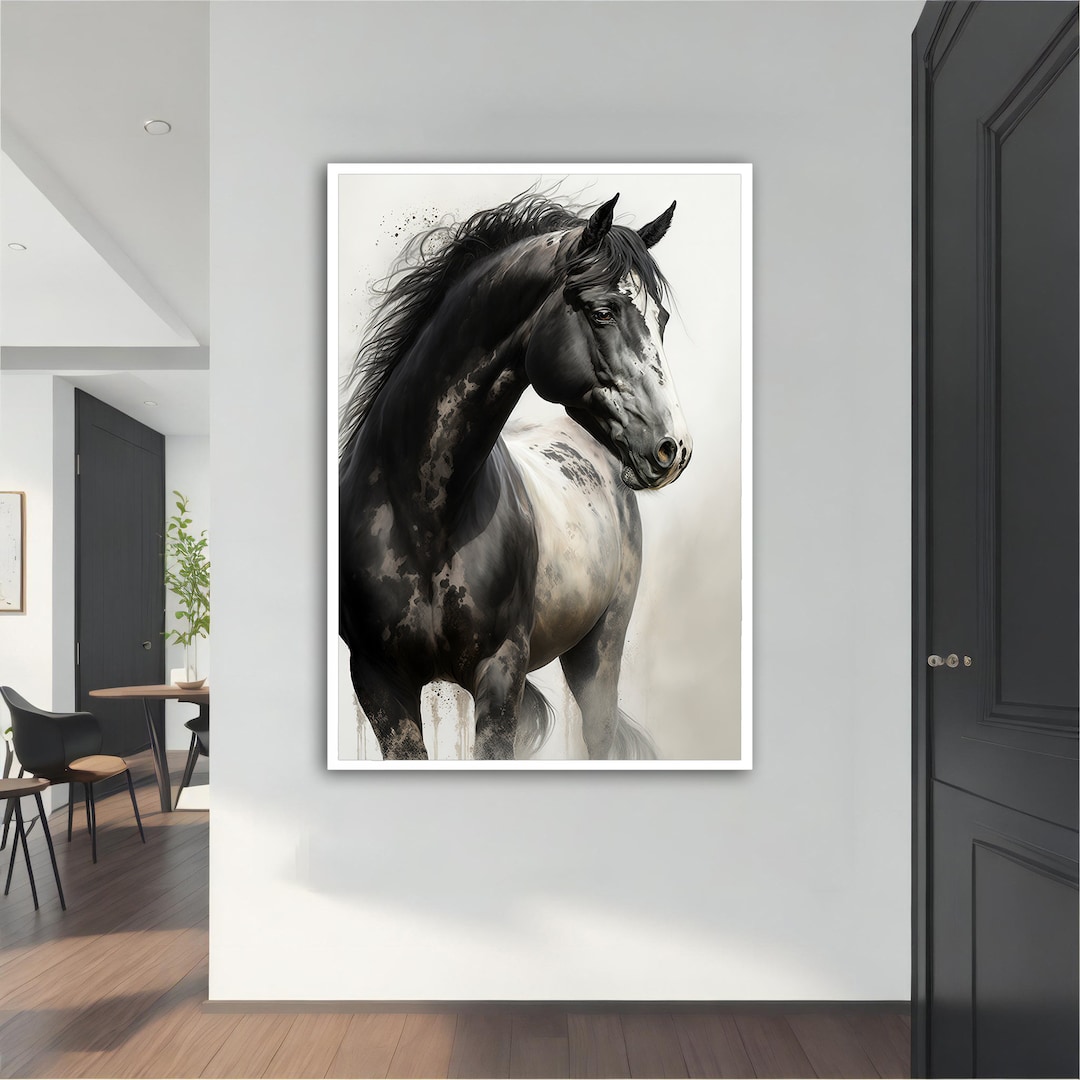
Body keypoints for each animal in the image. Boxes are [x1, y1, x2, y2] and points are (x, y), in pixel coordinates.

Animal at [339, 191, 692, 760]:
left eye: (659, 318)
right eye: (602, 312)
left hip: (598, 655)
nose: (673, 448)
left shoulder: (500, 675)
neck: (425, 515)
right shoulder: (378, 683)